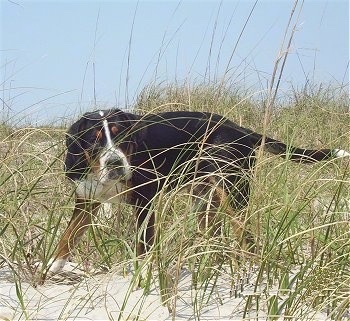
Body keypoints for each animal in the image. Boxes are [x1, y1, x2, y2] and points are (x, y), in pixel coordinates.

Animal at [45, 109, 348, 274]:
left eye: (124, 138)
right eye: (94, 141)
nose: (115, 163)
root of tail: (240, 129)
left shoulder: (145, 202)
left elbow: (143, 246)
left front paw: (141, 278)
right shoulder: (86, 200)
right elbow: (67, 237)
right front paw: (49, 269)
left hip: (233, 194)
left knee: (248, 240)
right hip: (205, 200)